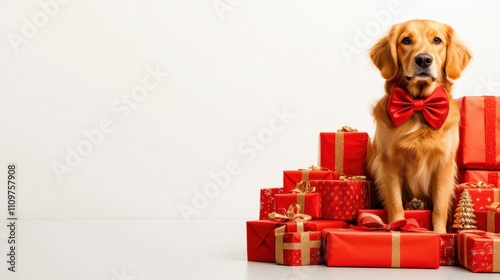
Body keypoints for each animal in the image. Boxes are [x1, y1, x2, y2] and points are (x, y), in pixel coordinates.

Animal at [370, 19, 470, 233]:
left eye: (437, 40)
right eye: (406, 40)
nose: (423, 60)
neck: (419, 105)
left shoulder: (444, 164)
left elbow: (440, 207)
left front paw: (440, 234)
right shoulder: (389, 161)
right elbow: (395, 202)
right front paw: (397, 226)